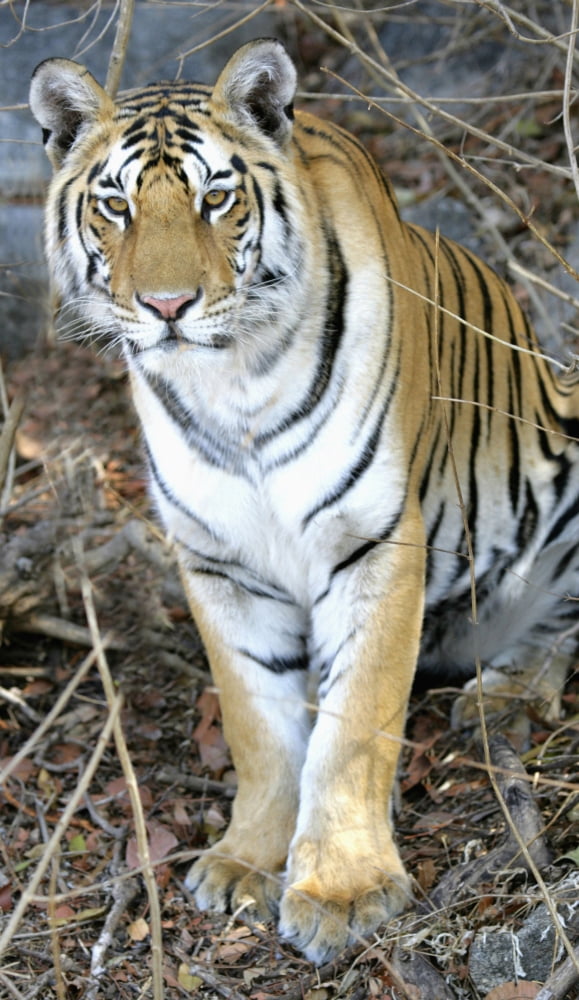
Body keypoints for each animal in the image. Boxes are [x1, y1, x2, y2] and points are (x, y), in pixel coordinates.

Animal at [30, 37, 579, 964]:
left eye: (215, 197)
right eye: (115, 205)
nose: (167, 307)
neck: (229, 383)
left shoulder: (374, 541)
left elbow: (353, 726)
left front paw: (343, 890)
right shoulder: (218, 559)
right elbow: (259, 723)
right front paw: (248, 861)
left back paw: (502, 694)